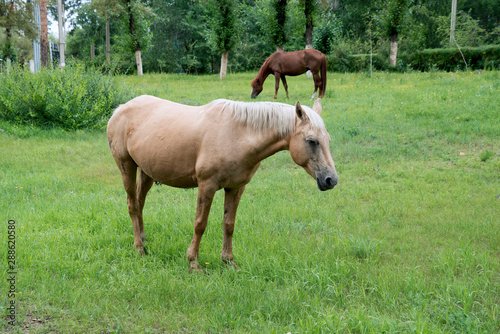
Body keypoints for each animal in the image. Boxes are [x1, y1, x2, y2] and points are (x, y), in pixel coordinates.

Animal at [107, 95, 338, 272]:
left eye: (327, 139)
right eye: (311, 141)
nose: (331, 180)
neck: (237, 135)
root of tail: (120, 109)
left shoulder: (235, 188)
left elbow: (229, 225)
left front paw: (229, 263)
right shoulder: (206, 186)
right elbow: (200, 224)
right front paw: (194, 264)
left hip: (146, 172)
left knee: (140, 205)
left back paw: (143, 240)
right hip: (127, 167)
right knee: (132, 205)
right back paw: (139, 248)